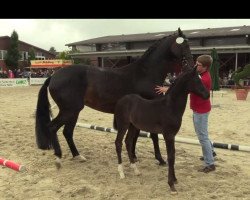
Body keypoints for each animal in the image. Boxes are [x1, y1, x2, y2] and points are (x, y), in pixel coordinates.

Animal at [34, 27, 193, 166]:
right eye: (184, 45)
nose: (191, 66)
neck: (144, 74)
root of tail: (54, 76)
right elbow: (152, 135)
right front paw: (160, 159)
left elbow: (135, 136)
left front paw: (134, 157)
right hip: (69, 111)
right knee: (52, 128)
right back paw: (58, 156)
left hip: (73, 112)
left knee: (67, 132)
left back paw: (78, 156)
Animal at [113, 65, 209, 194]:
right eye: (197, 80)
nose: (207, 95)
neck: (170, 107)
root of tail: (121, 100)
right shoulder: (168, 135)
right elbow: (170, 157)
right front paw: (171, 185)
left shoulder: (172, 135)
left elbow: (173, 156)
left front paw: (175, 180)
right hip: (123, 125)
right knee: (118, 143)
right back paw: (121, 172)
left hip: (133, 126)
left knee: (128, 142)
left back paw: (136, 170)